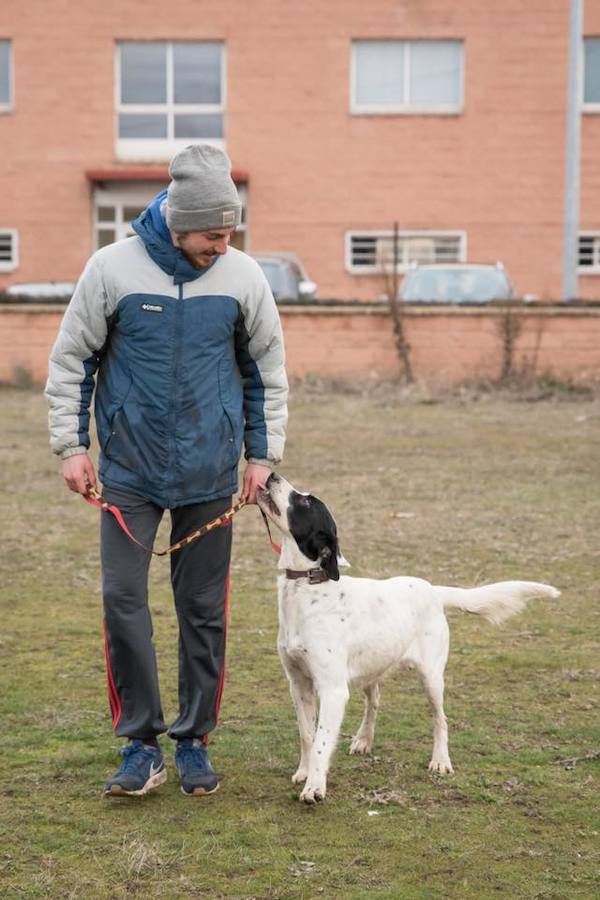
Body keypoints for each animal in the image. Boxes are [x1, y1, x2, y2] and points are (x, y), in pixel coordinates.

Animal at [255, 474, 560, 804]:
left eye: (305, 501)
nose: (271, 475)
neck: (307, 587)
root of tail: (432, 589)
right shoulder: (298, 683)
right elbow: (307, 734)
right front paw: (304, 772)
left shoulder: (332, 689)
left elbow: (322, 741)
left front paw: (315, 786)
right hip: (372, 665)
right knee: (375, 700)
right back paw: (364, 739)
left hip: (432, 677)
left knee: (441, 719)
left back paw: (440, 761)